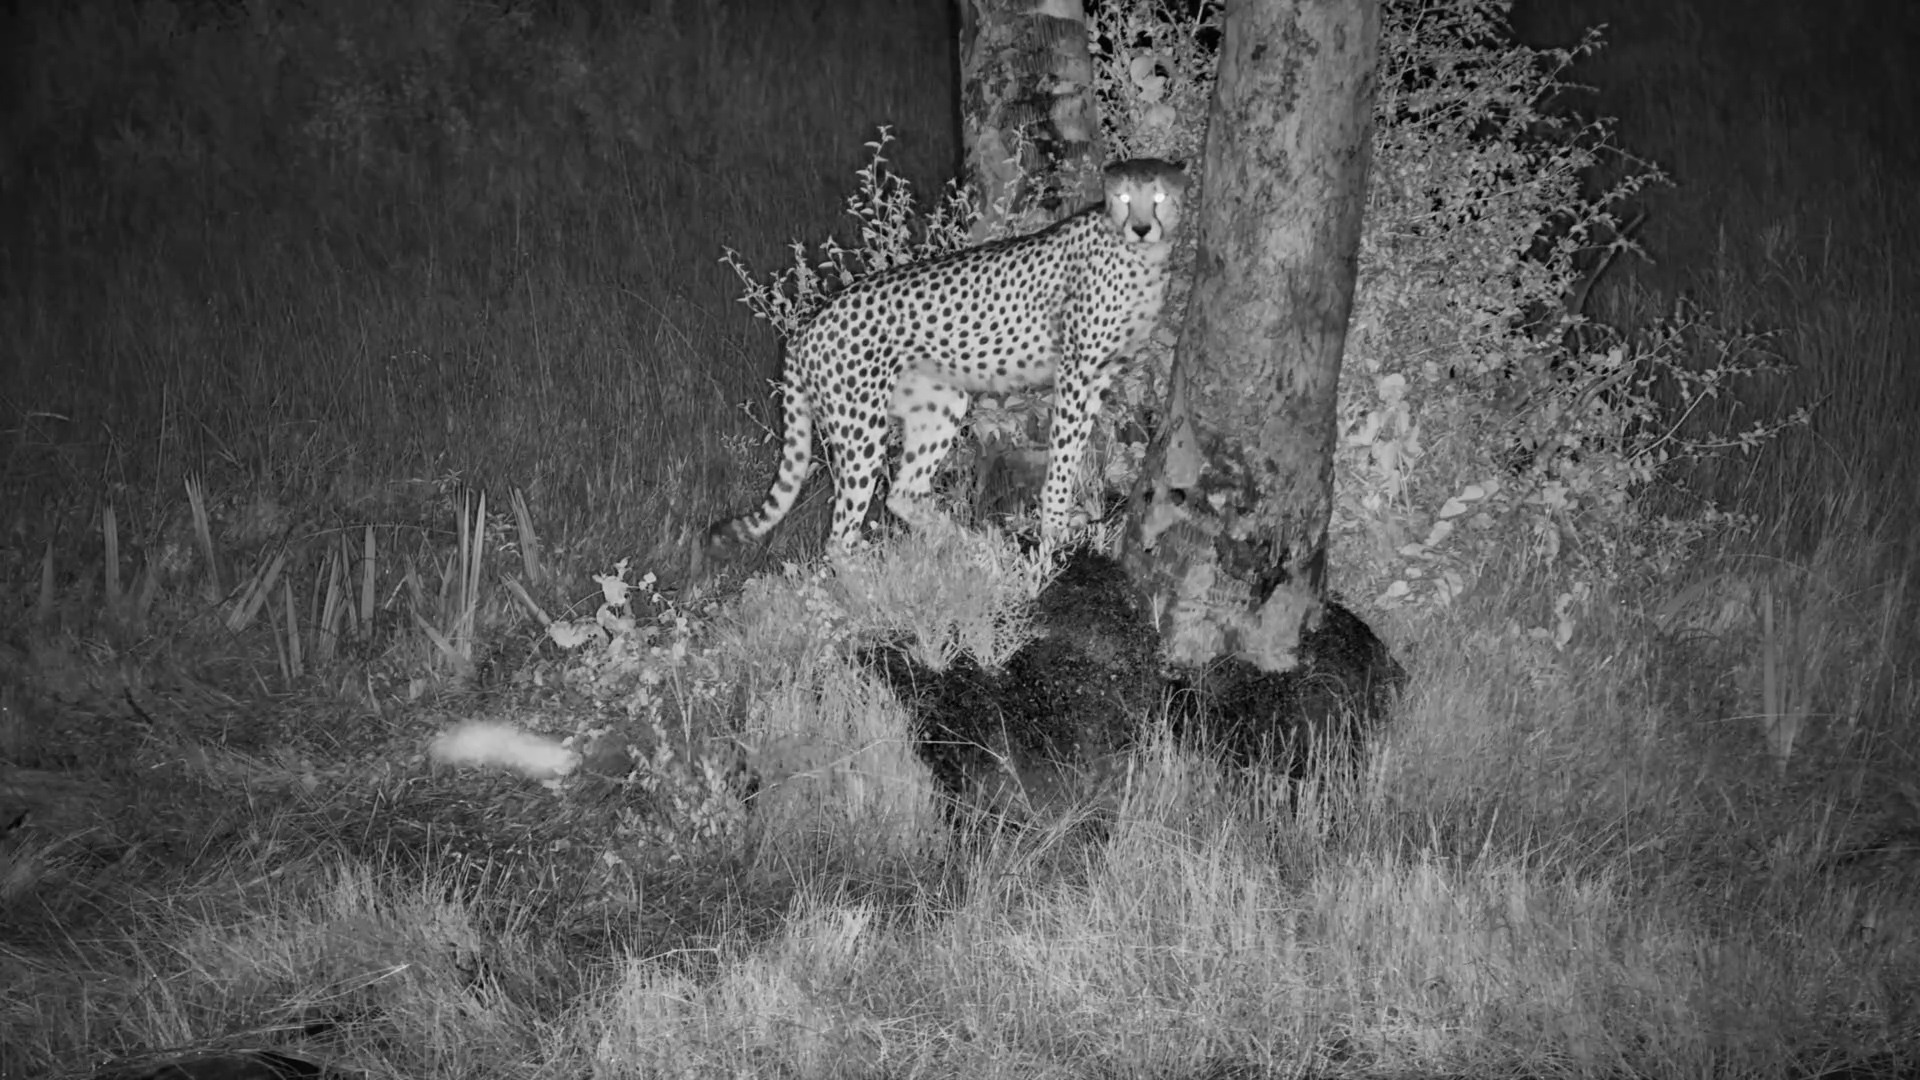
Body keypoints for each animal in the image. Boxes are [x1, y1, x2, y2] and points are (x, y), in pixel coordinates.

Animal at [710, 158, 1187, 553]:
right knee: (840, 535)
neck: (1140, 255)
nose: (1141, 227)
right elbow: (1063, 453)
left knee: (902, 493)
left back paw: (976, 549)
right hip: (860, 426)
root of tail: (806, 326)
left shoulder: (1101, 374)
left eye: (1159, 197)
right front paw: (1054, 529)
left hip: (939, 403)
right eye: (1124, 198)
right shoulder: (1075, 372)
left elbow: (1079, 443)